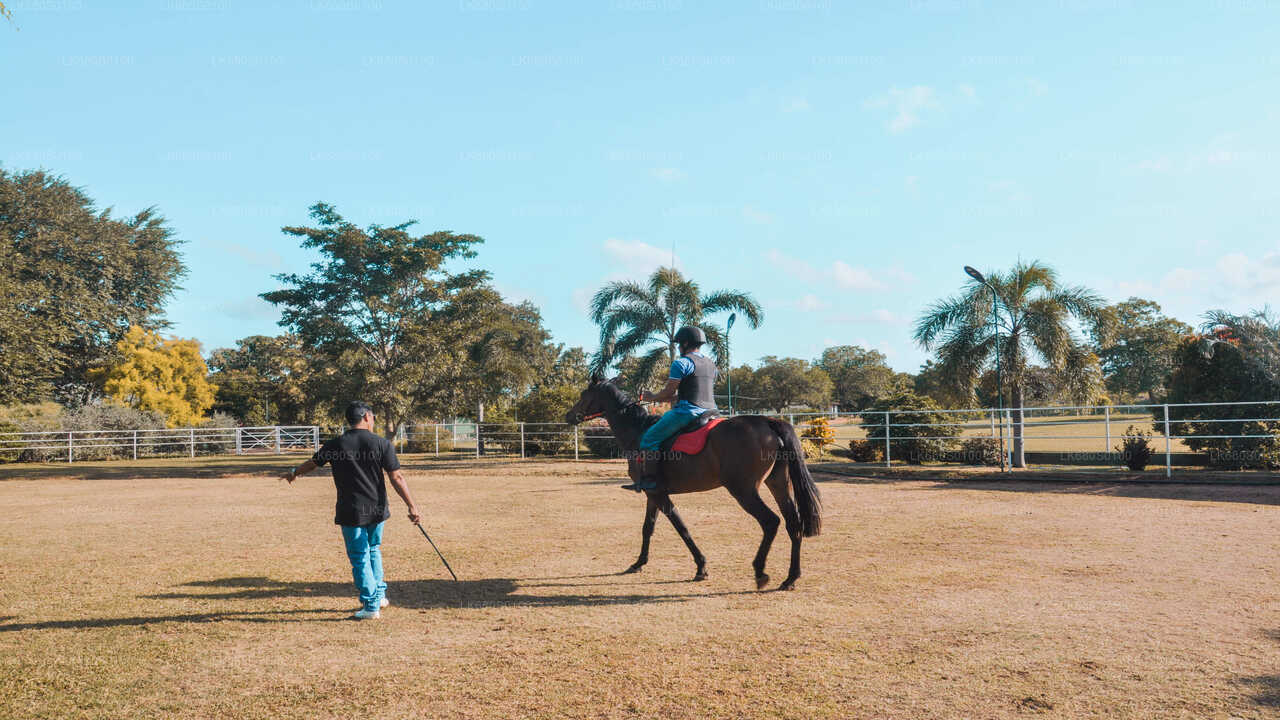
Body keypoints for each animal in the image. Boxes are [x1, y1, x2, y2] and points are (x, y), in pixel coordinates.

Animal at [564, 375, 822, 590]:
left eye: (584, 395)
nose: (569, 416)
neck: (638, 431)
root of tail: (768, 422)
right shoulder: (653, 494)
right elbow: (648, 528)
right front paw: (638, 563)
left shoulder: (659, 495)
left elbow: (681, 527)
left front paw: (701, 566)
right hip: (778, 484)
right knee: (793, 524)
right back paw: (790, 578)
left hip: (743, 490)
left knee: (770, 522)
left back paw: (760, 571)